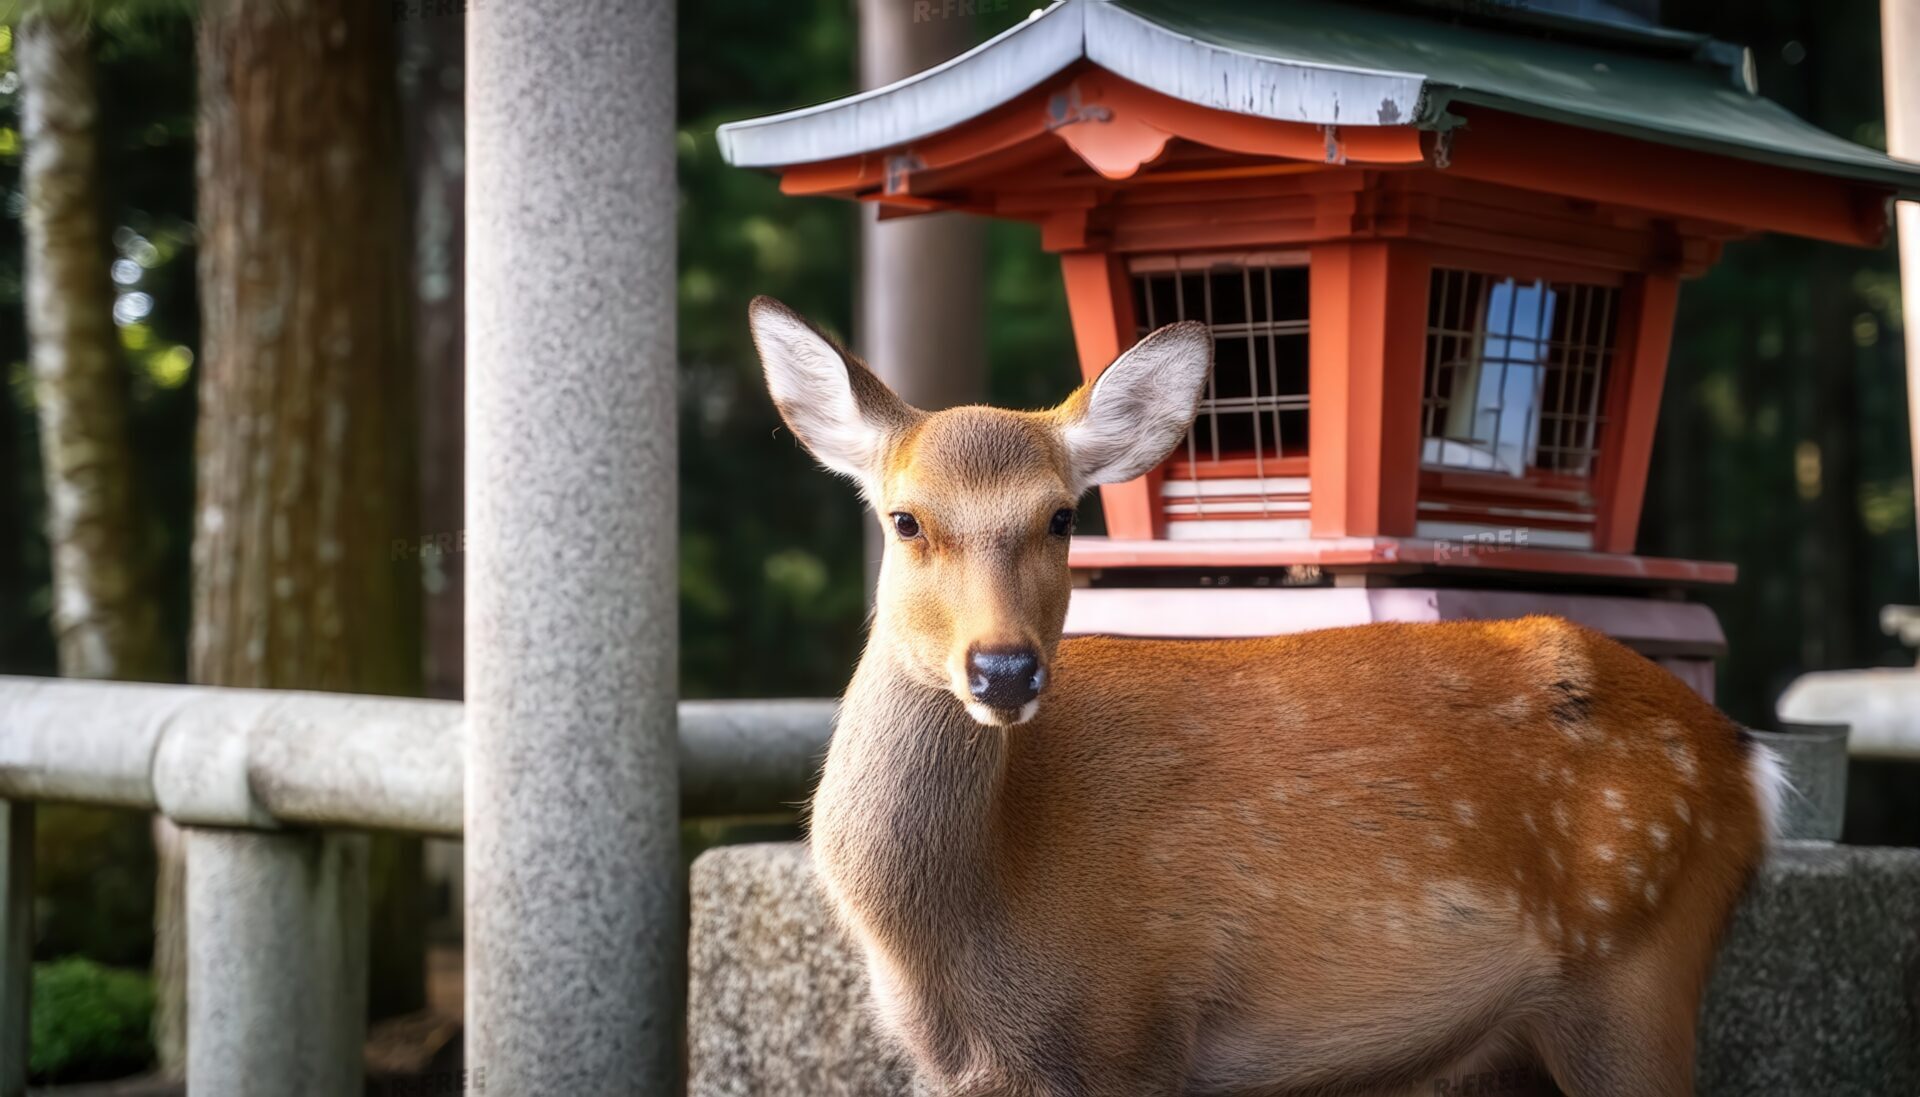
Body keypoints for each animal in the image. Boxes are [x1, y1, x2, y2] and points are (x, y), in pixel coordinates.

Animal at [747, 295, 1786, 1097]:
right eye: (905, 519)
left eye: (1061, 515)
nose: (1004, 669)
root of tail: (1749, 763)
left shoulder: (1133, 1026)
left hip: (1637, 975)